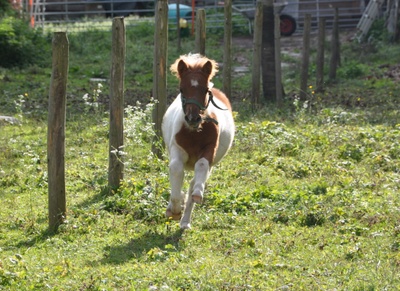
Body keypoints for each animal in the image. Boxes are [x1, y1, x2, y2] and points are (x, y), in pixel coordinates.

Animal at [161, 53, 234, 229]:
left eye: (205, 90)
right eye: (182, 89)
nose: (192, 118)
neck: (194, 132)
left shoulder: (209, 149)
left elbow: (201, 166)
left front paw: (197, 194)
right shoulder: (177, 149)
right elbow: (175, 169)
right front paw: (174, 208)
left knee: (193, 181)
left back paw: (185, 221)